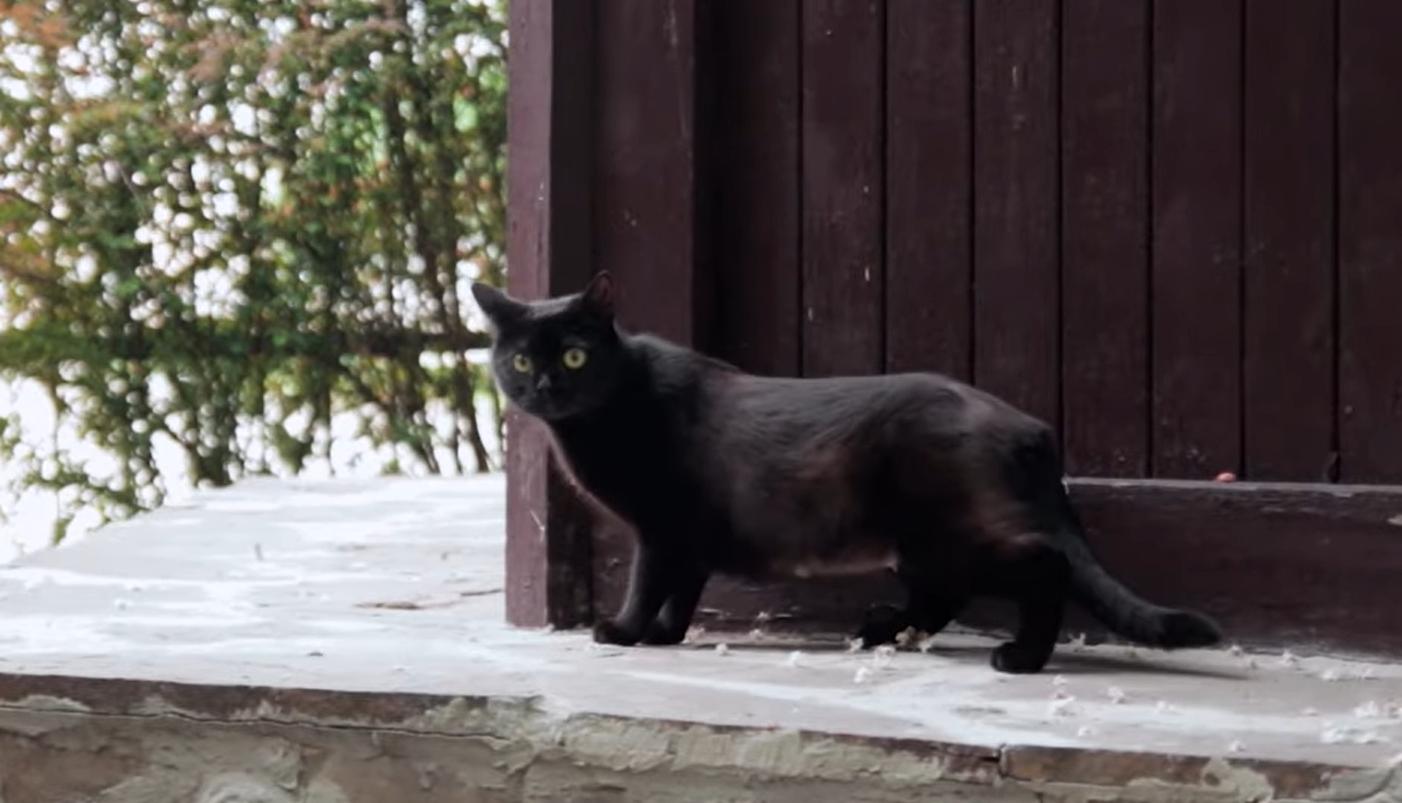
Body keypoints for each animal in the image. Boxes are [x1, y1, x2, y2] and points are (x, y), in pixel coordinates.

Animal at [471, 271, 1216, 672]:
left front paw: (623, 631)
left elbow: (647, 581)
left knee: (1043, 567)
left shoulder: (661, 527)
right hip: (921, 544)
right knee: (943, 594)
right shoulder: (690, 537)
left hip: (954, 536)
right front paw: (662, 635)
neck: (608, 408)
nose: (543, 385)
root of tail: (1032, 428)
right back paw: (882, 628)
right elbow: (682, 590)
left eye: (573, 355)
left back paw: (1021, 657)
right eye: (520, 358)